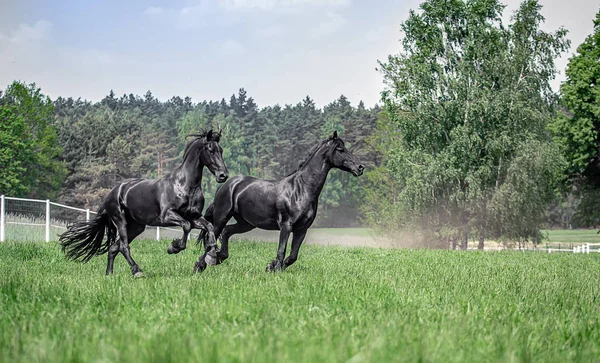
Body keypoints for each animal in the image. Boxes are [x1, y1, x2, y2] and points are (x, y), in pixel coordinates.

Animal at [59, 130, 227, 276]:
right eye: (210, 150)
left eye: (221, 150)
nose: (223, 175)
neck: (184, 185)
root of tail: (112, 192)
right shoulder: (168, 216)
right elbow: (185, 226)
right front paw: (173, 247)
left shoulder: (194, 217)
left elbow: (209, 227)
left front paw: (212, 255)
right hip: (121, 222)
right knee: (124, 246)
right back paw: (137, 271)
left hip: (136, 227)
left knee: (114, 247)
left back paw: (109, 274)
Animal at [192, 132, 364, 272]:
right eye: (340, 149)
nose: (360, 167)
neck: (301, 189)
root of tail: (227, 184)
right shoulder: (286, 226)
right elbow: (282, 250)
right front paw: (275, 269)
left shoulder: (302, 229)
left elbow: (293, 256)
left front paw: (271, 266)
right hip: (222, 217)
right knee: (213, 236)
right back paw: (201, 265)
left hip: (246, 223)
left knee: (227, 232)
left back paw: (219, 257)